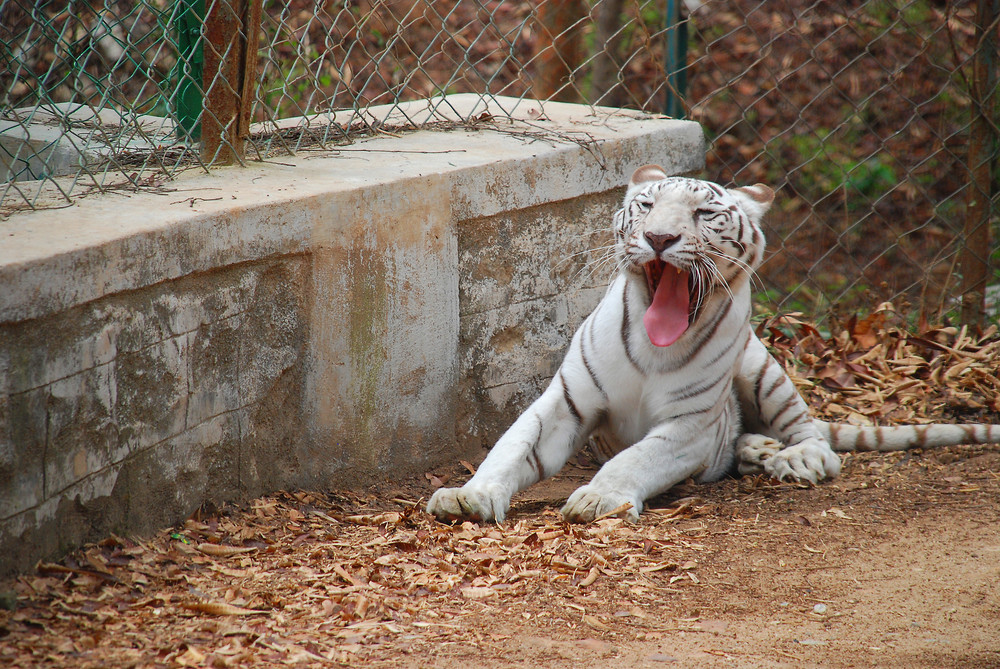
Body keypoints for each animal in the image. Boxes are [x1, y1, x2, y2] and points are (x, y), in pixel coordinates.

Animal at [428, 166, 1000, 520]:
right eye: (646, 205)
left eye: (705, 215)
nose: (659, 238)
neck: (654, 344)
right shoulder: (565, 404)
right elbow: (508, 449)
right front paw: (467, 496)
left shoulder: (689, 425)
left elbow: (634, 460)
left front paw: (597, 499)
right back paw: (757, 449)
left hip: (761, 369)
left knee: (812, 434)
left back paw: (794, 458)